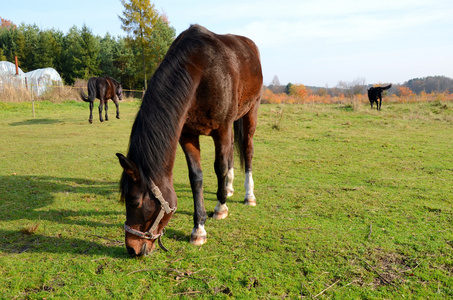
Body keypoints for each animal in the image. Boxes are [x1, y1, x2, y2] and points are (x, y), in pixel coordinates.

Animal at [116, 24, 264, 256]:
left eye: (134, 201)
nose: (132, 248)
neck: (203, 72)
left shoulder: (222, 129)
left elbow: (220, 167)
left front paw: (220, 208)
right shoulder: (187, 135)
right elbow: (196, 177)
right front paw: (199, 229)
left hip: (251, 111)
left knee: (247, 150)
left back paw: (248, 195)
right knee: (231, 152)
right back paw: (229, 188)